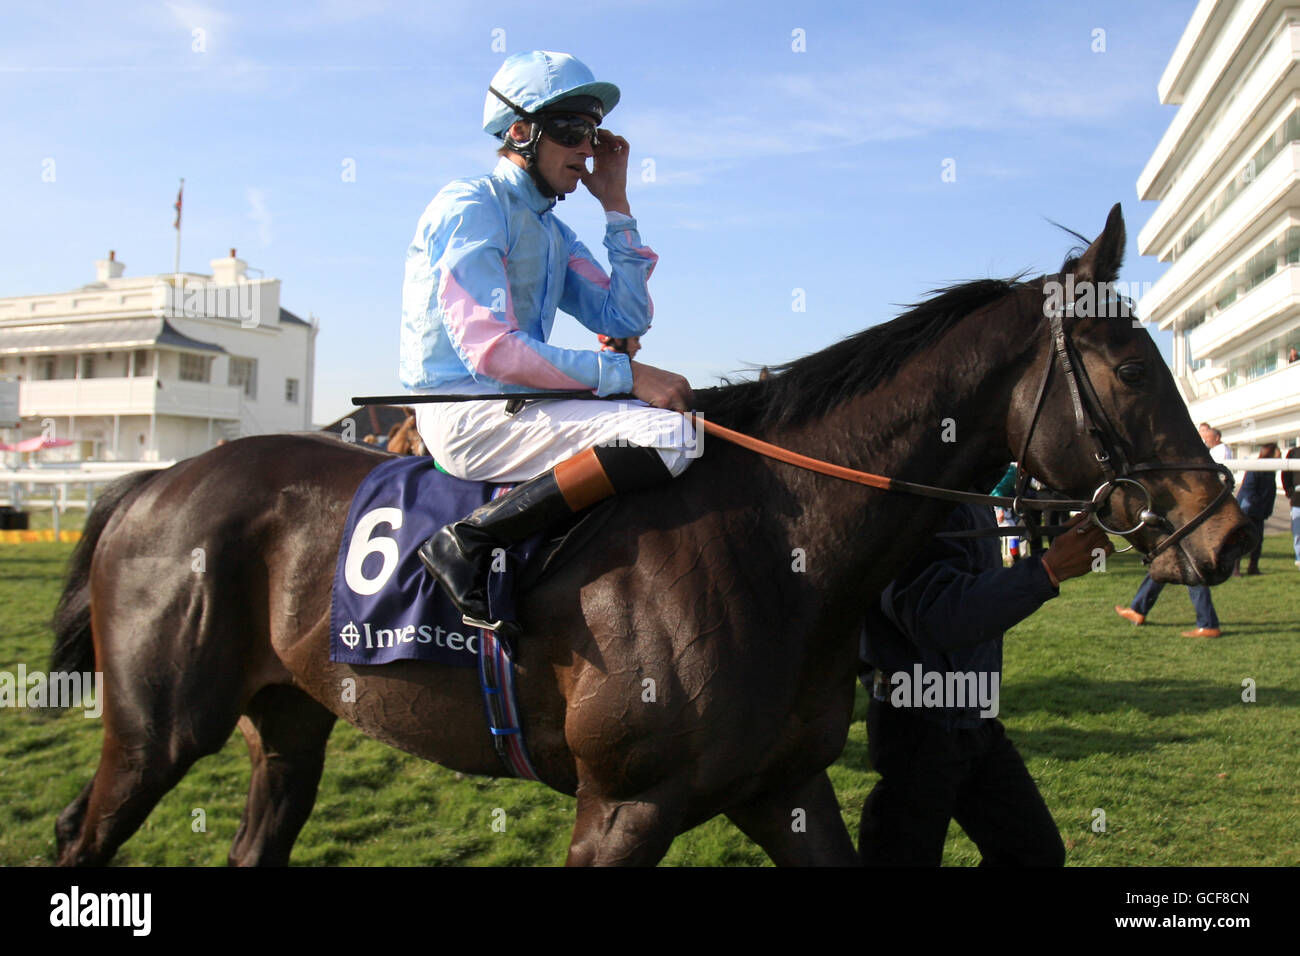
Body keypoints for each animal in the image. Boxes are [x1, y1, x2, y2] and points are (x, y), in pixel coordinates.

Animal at [48, 208, 1248, 868]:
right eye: (1130, 366)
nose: (1229, 530)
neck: (782, 546)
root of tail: (151, 482)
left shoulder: (784, 788)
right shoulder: (620, 809)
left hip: (291, 718)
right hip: (156, 733)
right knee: (80, 834)